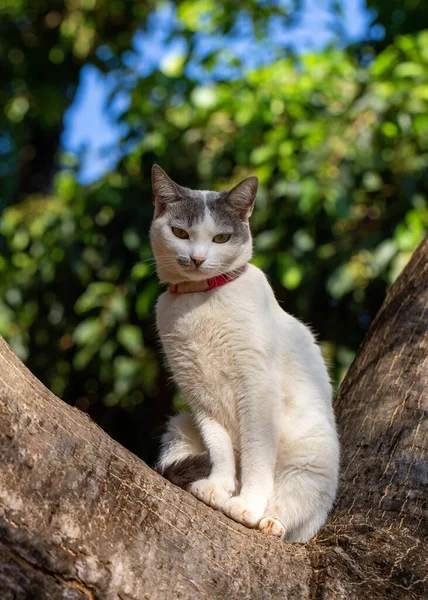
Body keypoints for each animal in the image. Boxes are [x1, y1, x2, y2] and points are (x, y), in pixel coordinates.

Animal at [152, 165, 340, 544]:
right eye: (180, 232)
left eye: (221, 238)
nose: (197, 258)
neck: (200, 301)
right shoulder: (198, 396)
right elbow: (221, 449)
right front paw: (219, 487)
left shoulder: (256, 389)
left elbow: (255, 456)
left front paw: (246, 504)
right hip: (179, 428)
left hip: (311, 463)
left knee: (293, 516)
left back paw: (269, 521)